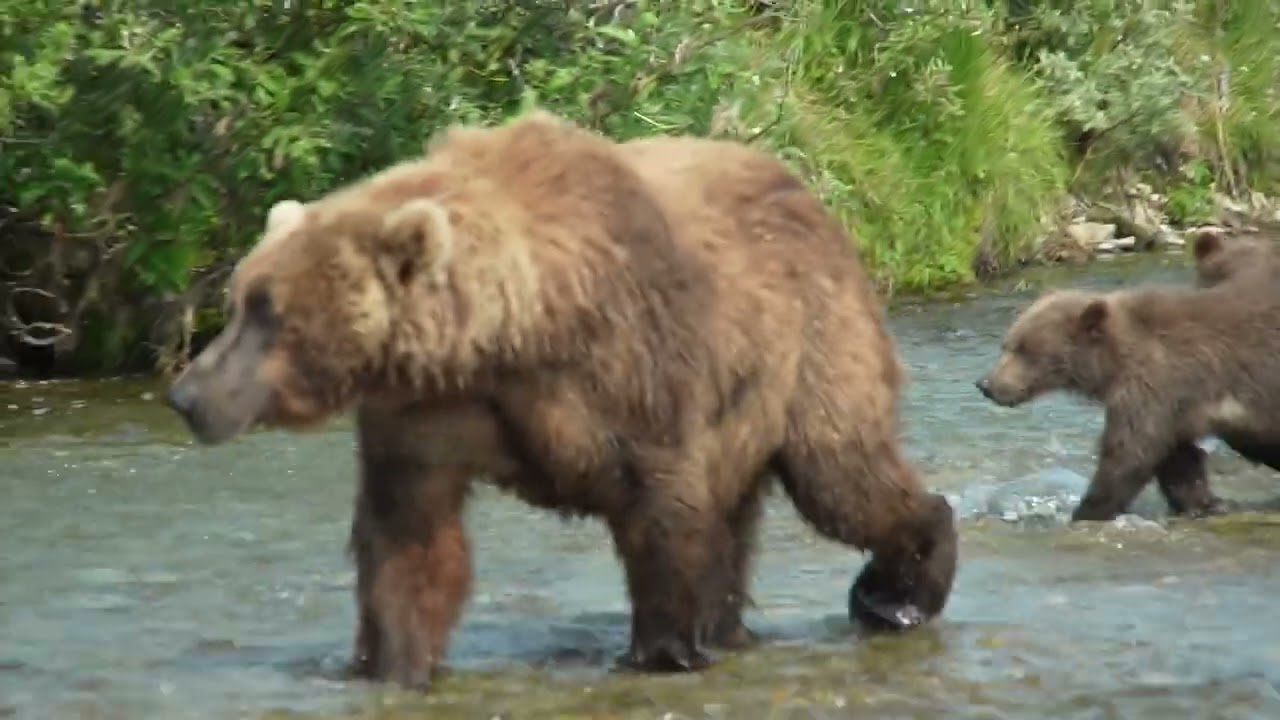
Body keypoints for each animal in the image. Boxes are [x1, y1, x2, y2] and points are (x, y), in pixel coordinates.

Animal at [164, 110, 958, 691]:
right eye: (241, 301)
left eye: (269, 312)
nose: (185, 393)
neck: (509, 333)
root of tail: (816, 200)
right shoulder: (427, 412)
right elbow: (409, 538)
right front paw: (392, 662)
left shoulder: (631, 372)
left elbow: (662, 511)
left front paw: (662, 650)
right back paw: (736, 627)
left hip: (810, 344)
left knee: (842, 475)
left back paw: (897, 590)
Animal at [973, 282, 1280, 522]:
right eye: (1006, 344)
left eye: (1024, 350)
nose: (986, 385)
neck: (1113, 364)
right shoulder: (1173, 405)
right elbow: (1176, 458)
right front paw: (1203, 503)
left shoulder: (1154, 384)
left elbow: (1128, 453)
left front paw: (1085, 511)